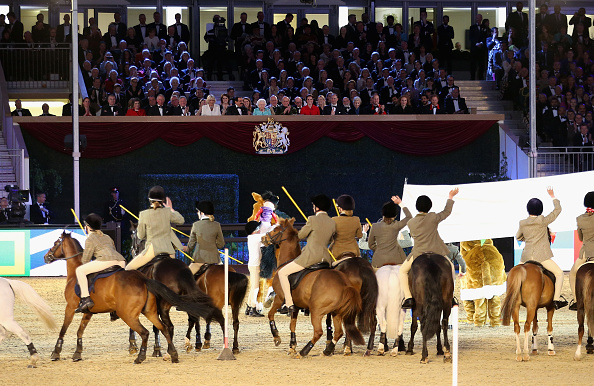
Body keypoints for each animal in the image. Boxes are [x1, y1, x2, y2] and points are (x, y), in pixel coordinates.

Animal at [44, 232, 220, 364]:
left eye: (55, 242)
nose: (47, 257)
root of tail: (144, 280)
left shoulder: (70, 308)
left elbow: (64, 329)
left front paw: (56, 352)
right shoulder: (88, 312)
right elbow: (80, 331)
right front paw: (78, 353)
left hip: (129, 314)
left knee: (148, 331)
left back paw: (143, 356)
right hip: (152, 311)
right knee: (167, 327)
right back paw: (177, 352)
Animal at [128, 222, 224, 358]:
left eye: (132, 236)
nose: (132, 251)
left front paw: (134, 345)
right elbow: (156, 327)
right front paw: (157, 349)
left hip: (165, 305)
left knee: (172, 326)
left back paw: (173, 351)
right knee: (195, 318)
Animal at [260, 219, 364, 358]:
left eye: (276, 229)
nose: (263, 238)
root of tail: (344, 284)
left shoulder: (279, 298)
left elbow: (270, 315)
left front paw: (277, 337)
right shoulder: (295, 306)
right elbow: (292, 325)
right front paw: (292, 346)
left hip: (317, 311)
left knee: (319, 332)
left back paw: (304, 352)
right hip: (336, 312)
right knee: (338, 332)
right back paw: (327, 350)